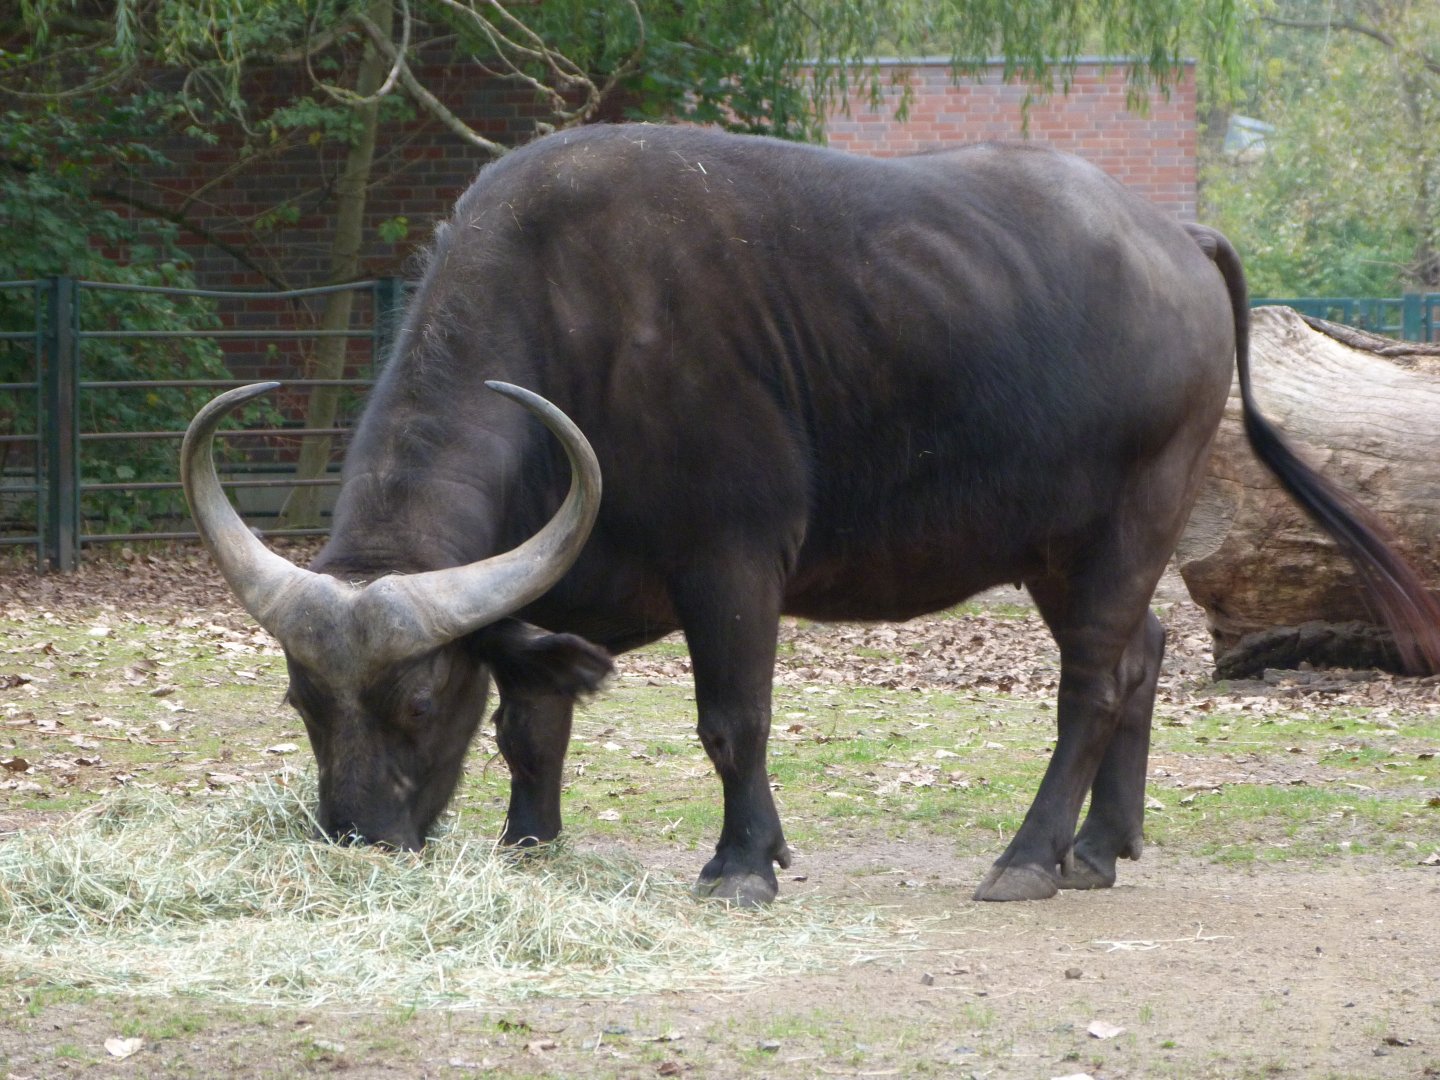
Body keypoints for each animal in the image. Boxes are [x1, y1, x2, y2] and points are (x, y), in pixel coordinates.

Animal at [182, 124, 1440, 905]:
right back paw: (1103, 844)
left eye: (417, 697)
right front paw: (529, 840)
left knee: (1092, 681)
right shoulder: (559, 589)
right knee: (1144, 652)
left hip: (1134, 515)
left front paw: (743, 861)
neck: (576, 326)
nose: (355, 837)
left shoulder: (734, 563)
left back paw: (1031, 857)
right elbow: (535, 719)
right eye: (303, 702)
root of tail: (1174, 235)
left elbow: (731, 720)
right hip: (1054, 543)